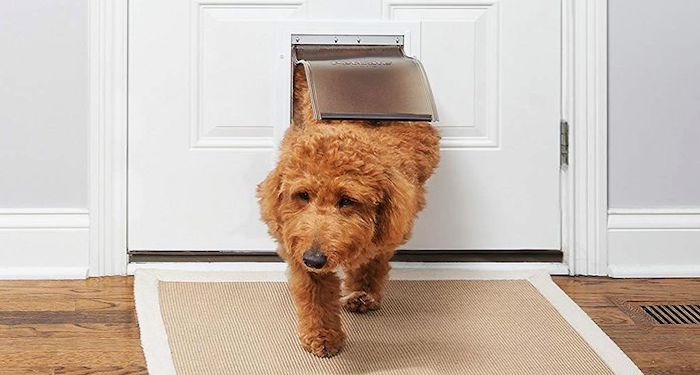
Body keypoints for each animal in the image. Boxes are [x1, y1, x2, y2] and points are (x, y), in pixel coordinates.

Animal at [260, 67, 440, 358]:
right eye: (303, 195)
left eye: (346, 200)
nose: (314, 258)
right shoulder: (297, 242)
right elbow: (316, 295)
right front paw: (322, 336)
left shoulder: (390, 225)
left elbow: (373, 259)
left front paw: (363, 293)